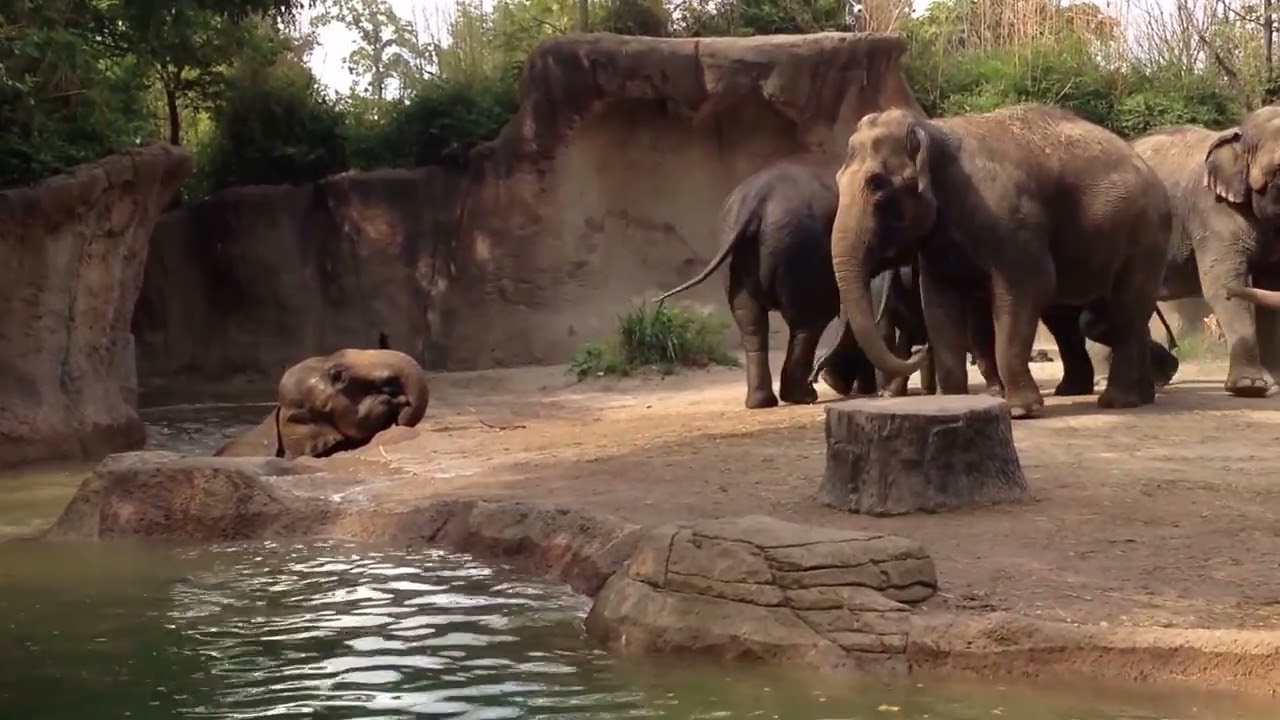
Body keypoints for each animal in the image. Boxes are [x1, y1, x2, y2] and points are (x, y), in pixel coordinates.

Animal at [829, 104, 1172, 418]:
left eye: (877, 184)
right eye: (838, 179)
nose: (917, 349)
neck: (933, 130)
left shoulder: (1012, 223)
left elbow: (1027, 288)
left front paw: (1021, 411)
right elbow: (939, 302)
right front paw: (954, 402)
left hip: (1145, 238)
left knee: (1124, 308)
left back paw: (1118, 401)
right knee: (1097, 315)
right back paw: (1130, 395)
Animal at [1133, 107, 1280, 397]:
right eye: (1278, 171)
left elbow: (1268, 288)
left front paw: (1272, 385)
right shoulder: (1212, 210)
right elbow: (1220, 283)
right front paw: (1248, 387)